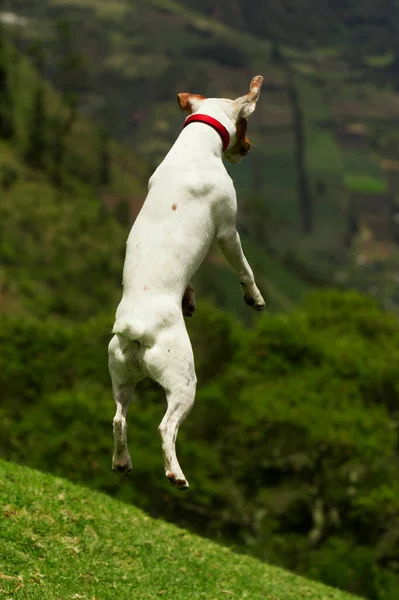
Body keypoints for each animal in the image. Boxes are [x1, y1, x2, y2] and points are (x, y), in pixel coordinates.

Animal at [109, 76, 266, 488]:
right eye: (245, 123)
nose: (248, 148)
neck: (195, 145)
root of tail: (135, 329)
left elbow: (192, 279)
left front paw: (191, 298)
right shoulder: (227, 231)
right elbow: (245, 269)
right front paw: (255, 297)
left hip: (121, 376)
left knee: (118, 419)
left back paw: (122, 462)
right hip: (184, 382)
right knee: (166, 428)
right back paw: (175, 473)